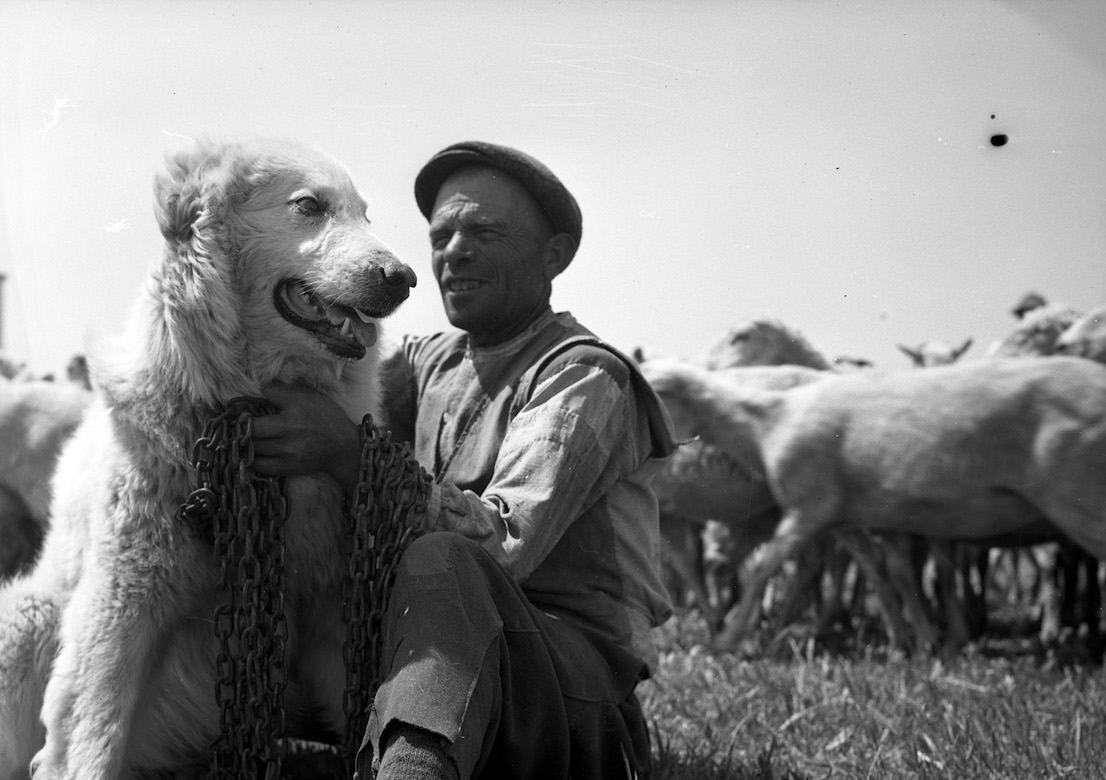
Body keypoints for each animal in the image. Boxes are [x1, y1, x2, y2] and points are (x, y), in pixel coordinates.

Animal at [0, 139, 415, 778]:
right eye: (309, 206)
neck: (239, 399)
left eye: (365, 215)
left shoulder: (326, 596)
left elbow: (364, 713)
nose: (405, 279)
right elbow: (94, 732)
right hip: (29, 616)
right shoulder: (120, 604)